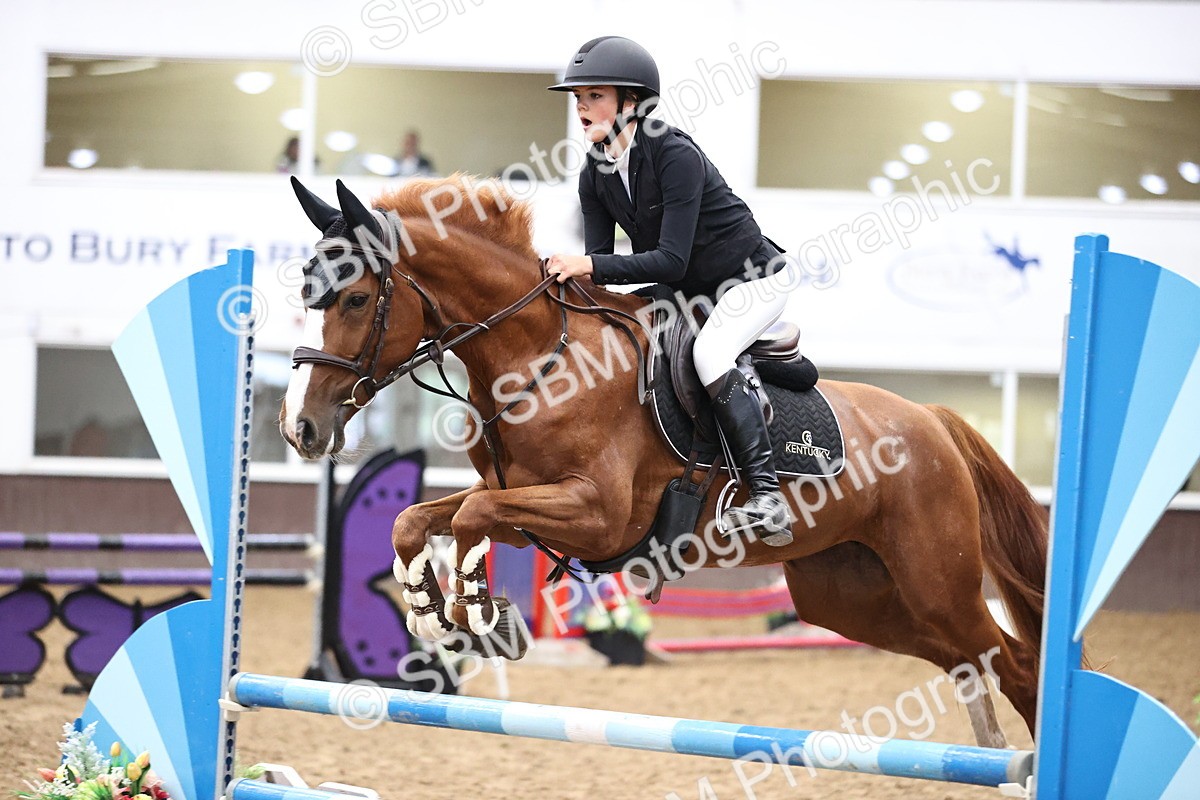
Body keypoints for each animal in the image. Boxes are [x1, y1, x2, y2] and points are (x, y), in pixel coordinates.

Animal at [279, 175, 1048, 746]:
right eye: (305, 297)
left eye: (355, 299)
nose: (301, 429)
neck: (536, 355)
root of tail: (933, 423)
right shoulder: (522, 500)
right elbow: (418, 518)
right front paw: (434, 613)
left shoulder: (597, 514)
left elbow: (470, 516)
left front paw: (479, 613)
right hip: (853, 596)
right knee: (969, 661)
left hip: (935, 579)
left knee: (1013, 661)